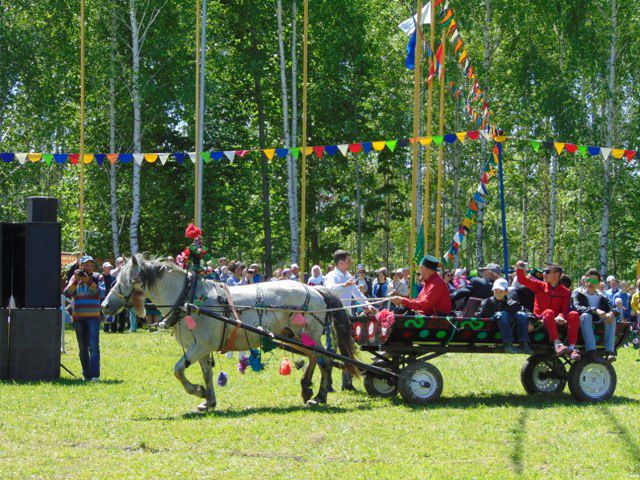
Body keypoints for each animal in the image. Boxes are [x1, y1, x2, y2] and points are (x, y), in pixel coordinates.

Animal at [102, 255, 358, 412]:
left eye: (129, 280)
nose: (104, 306)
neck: (189, 299)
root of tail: (315, 290)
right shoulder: (200, 348)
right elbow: (205, 373)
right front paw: (207, 400)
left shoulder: (200, 346)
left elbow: (177, 370)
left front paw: (197, 391)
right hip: (295, 336)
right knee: (316, 357)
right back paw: (306, 387)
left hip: (308, 334)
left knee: (325, 360)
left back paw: (319, 396)